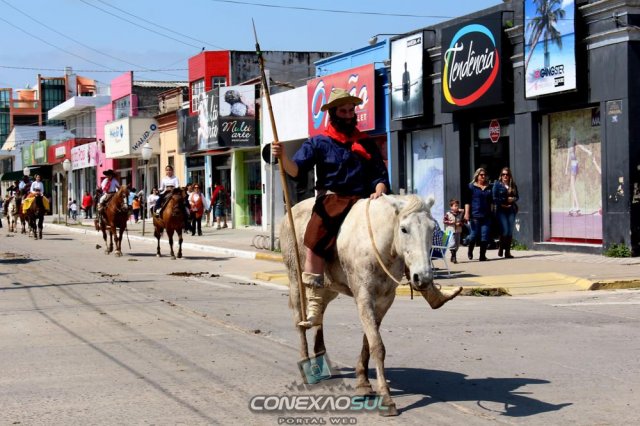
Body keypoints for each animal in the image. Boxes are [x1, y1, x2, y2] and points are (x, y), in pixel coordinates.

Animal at [280, 194, 463, 416]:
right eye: (404, 229)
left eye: (432, 228)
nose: (424, 278)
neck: (380, 245)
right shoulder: (363, 296)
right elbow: (377, 345)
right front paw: (386, 398)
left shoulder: (384, 300)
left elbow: (369, 341)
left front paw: (363, 383)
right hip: (294, 279)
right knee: (299, 318)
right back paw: (307, 366)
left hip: (329, 287)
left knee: (320, 311)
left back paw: (321, 358)